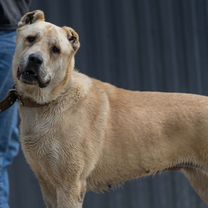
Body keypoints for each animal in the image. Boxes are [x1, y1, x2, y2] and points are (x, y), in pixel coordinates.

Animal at [12, 10, 208, 208]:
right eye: (30, 38)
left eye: (56, 49)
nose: (35, 59)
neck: (52, 99)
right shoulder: (48, 185)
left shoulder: (70, 185)